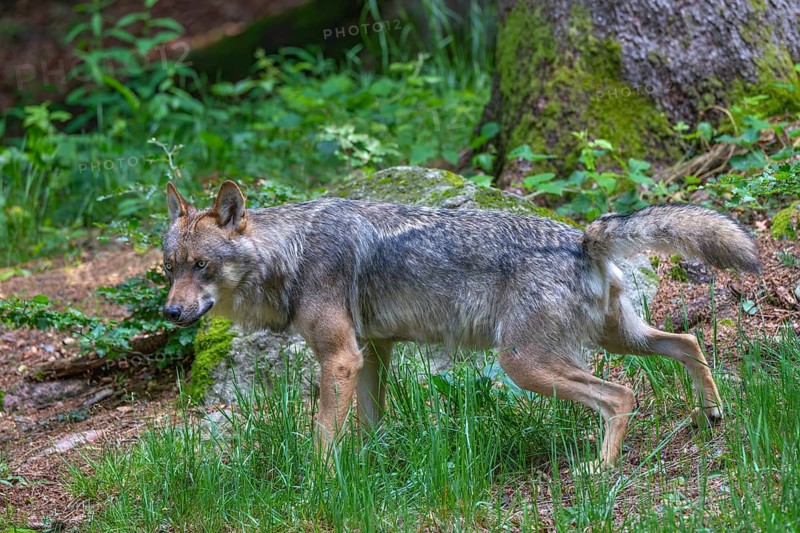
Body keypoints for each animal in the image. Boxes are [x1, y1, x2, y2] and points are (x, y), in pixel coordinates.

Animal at [162, 180, 760, 466]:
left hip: (524, 365)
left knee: (621, 395)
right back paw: (713, 413)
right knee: (687, 341)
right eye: (170, 268)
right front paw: (371, 467)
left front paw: (319, 485)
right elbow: (367, 426)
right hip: (620, 339)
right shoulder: (370, 353)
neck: (291, 251)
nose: (170, 311)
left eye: (203, 266)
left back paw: (600, 470)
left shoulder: (340, 357)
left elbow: (321, 439)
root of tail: (581, 238)